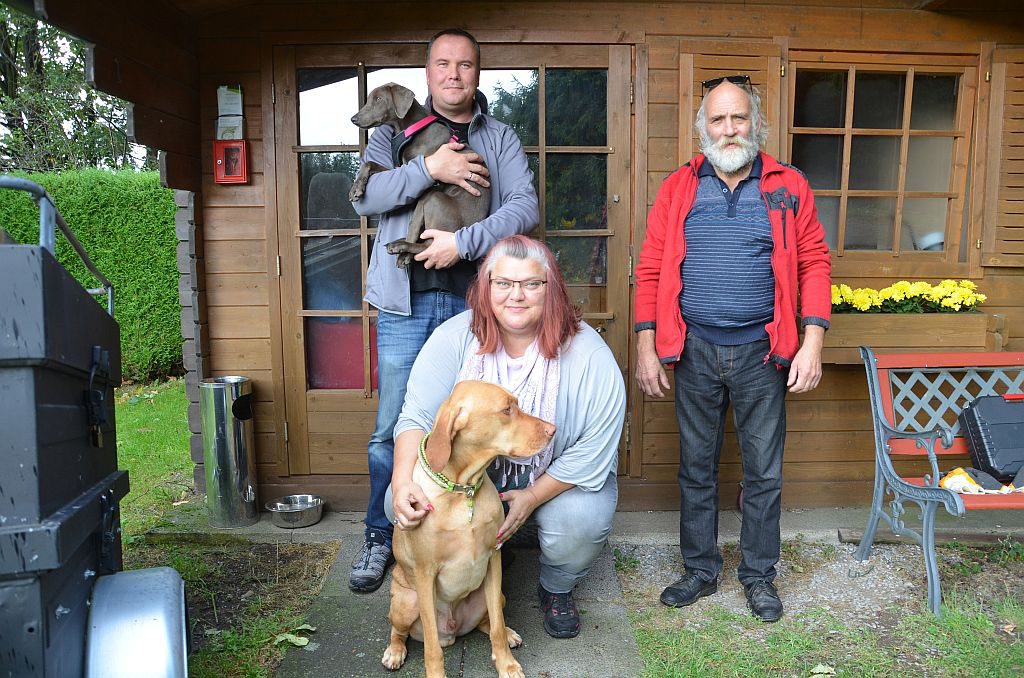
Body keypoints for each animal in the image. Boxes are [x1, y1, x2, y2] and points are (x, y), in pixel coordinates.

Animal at [385, 383, 557, 678]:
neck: (463, 490)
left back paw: (509, 634)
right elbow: (432, 648)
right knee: (400, 631)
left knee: (487, 622)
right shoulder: (425, 572)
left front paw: (506, 663)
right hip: (406, 602)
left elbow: (496, 626)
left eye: (517, 404)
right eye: (507, 409)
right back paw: (395, 651)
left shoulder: (493, 557)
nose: (553, 429)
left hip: (494, 596)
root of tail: (452, 632)